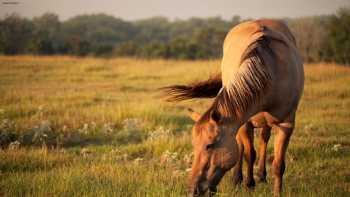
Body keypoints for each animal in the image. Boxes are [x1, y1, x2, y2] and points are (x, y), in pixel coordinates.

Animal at [161, 19, 304, 196]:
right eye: (194, 145)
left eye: (209, 145)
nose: (192, 190)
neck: (271, 73)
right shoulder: (243, 122)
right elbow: (249, 154)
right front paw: (249, 184)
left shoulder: (287, 124)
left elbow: (278, 164)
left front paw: (275, 191)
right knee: (245, 145)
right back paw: (238, 178)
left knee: (264, 137)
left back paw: (261, 175)